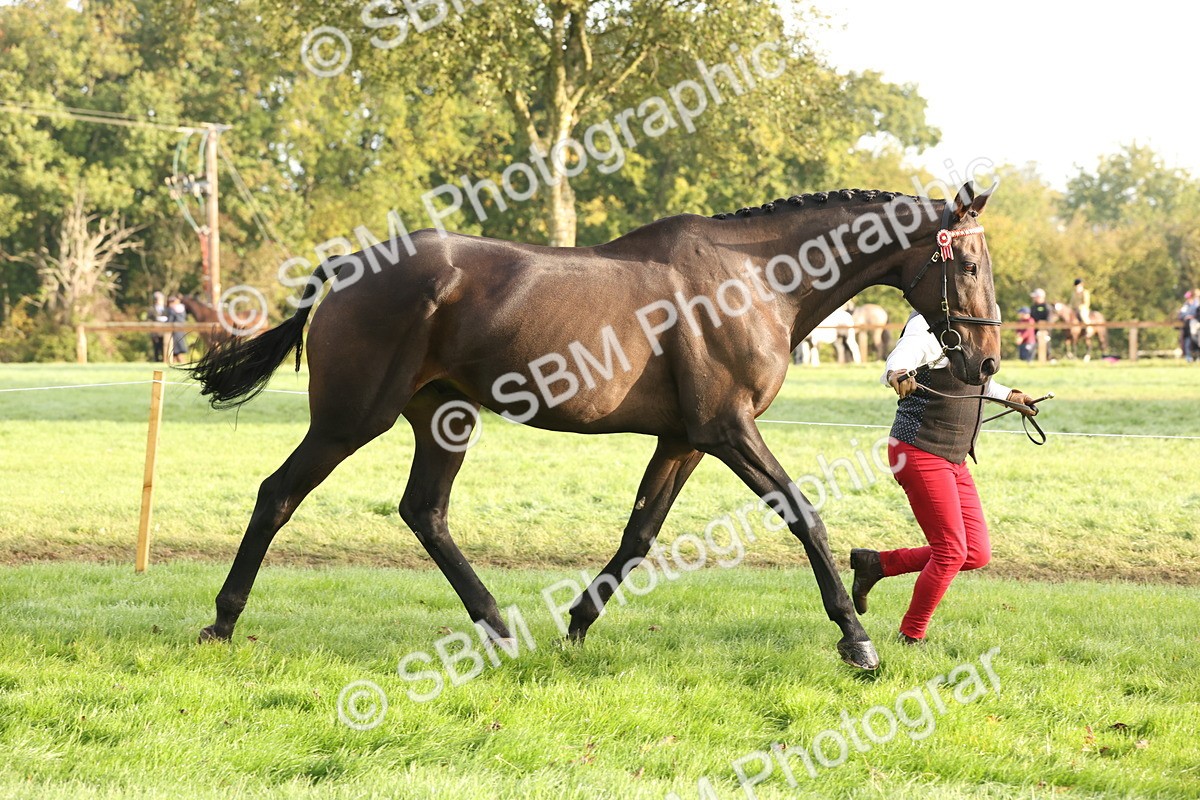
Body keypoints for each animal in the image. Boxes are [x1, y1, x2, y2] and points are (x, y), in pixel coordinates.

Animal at [183, 183, 1003, 672]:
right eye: (966, 265)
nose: (985, 361)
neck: (757, 281)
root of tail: (347, 265)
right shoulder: (727, 430)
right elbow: (804, 515)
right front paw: (856, 639)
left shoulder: (684, 441)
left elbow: (638, 535)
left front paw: (577, 624)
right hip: (352, 418)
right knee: (278, 495)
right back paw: (221, 622)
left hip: (444, 417)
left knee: (425, 512)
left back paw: (499, 628)